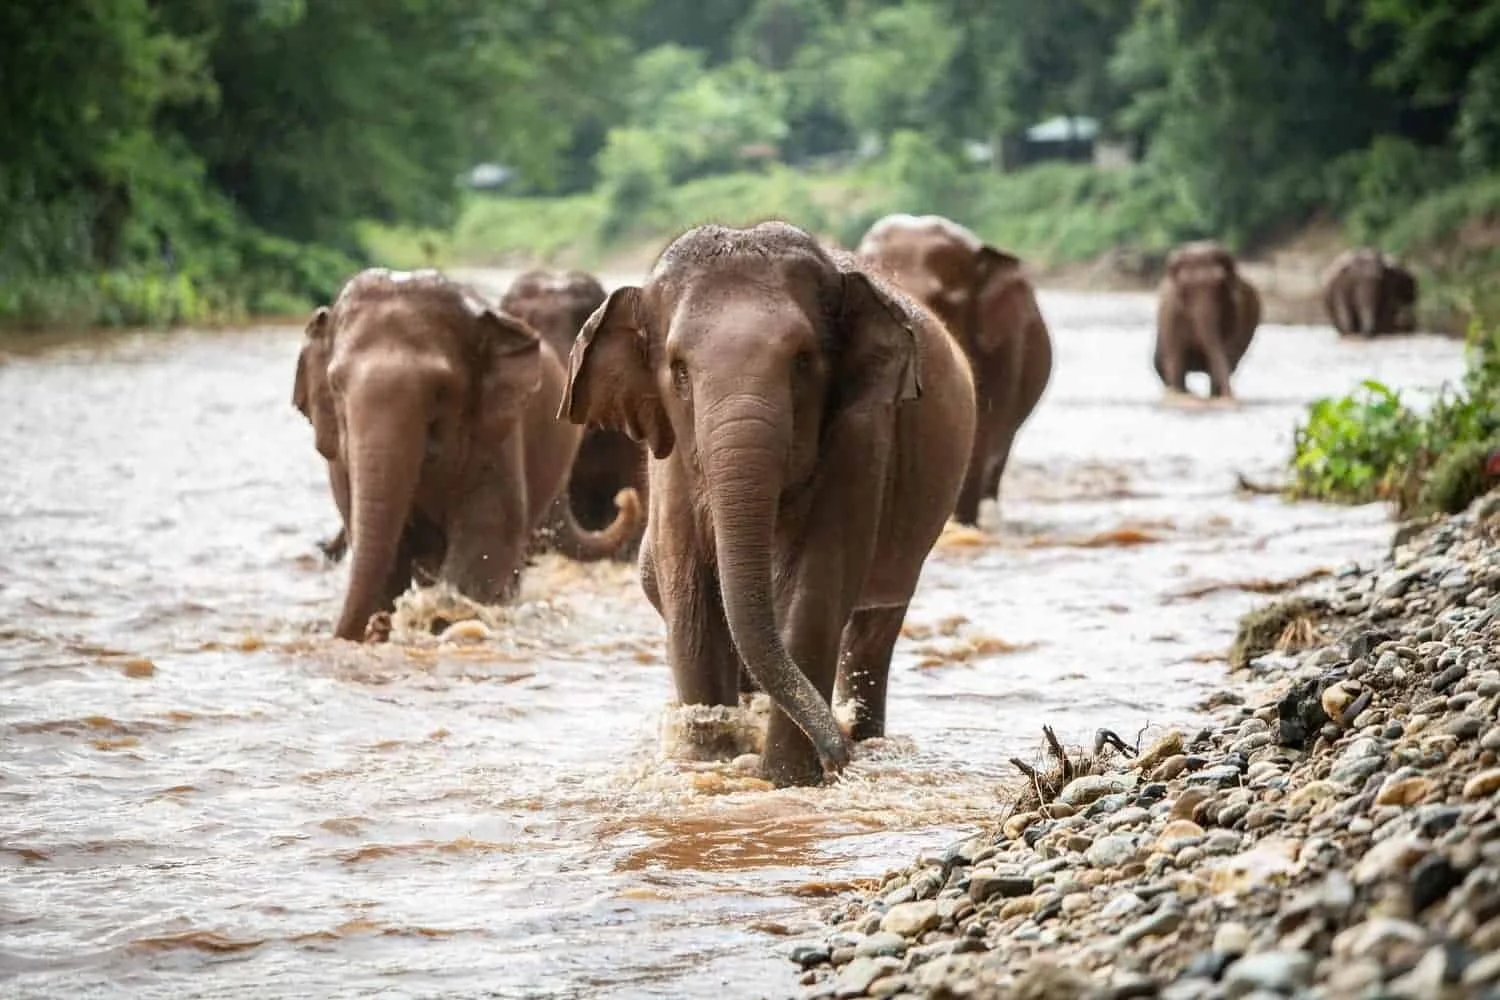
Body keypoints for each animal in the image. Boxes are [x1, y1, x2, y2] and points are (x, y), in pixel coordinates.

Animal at [561, 221, 977, 787]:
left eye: (803, 361)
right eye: (679, 371)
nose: (839, 756)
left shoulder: (862, 436)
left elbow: (817, 586)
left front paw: (786, 780)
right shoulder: (671, 460)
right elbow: (689, 593)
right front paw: (708, 762)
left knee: (875, 627)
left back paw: (863, 735)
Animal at [1153, 241, 1262, 399]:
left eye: (1220, 282)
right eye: (1185, 287)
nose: (1232, 396)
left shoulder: (1236, 311)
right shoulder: (1172, 313)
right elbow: (1176, 360)